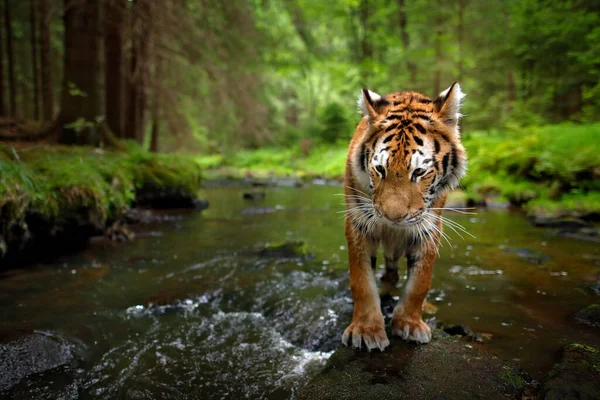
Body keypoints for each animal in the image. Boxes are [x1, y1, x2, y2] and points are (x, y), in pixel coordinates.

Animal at [340, 83, 466, 350]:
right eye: (380, 169)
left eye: (419, 171)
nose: (393, 218)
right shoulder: (358, 223)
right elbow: (362, 281)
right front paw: (365, 331)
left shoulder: (429, 228)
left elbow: (419, 283)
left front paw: (409, 324)